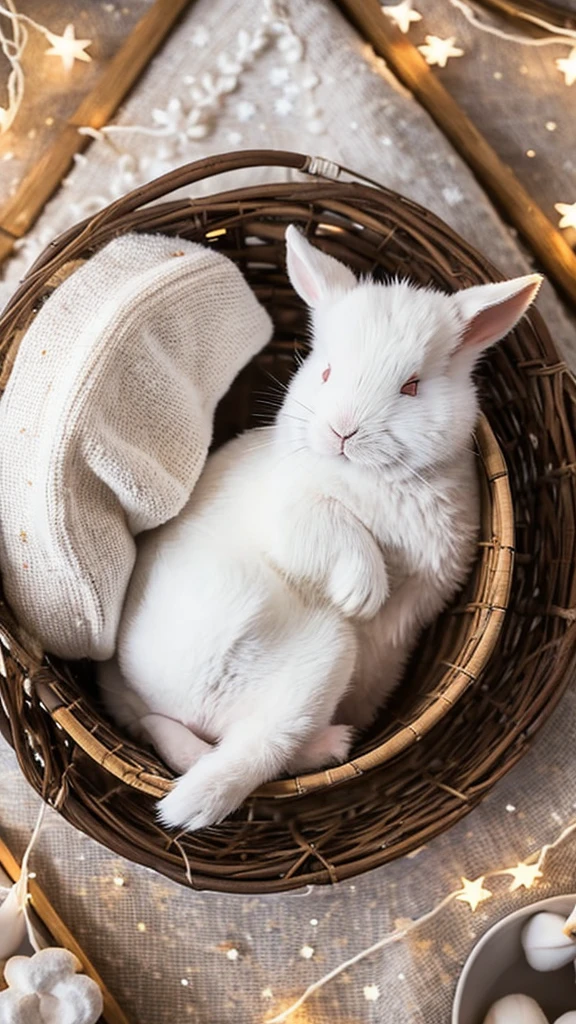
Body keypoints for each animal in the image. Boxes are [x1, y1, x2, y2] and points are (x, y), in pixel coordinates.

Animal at [96, 226, 541, 831]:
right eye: (327, 372)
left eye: (412, 387)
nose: (341, 432)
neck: (373, 477)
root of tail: (166, 705)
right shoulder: (288, 510)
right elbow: (332, 523)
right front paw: (365, 594)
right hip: (322, 654)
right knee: (262, 752)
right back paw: (331, 745)